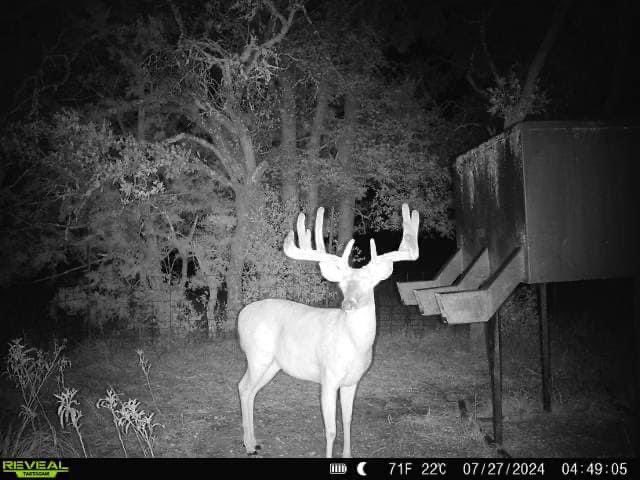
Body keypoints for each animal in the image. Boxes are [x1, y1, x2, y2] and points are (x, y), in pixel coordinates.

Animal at [237, 203, 419, 458]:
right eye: (342, 284)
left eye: (369, 284)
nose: (347, 304)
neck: (355, 346)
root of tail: (241, 316)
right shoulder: (328, 377)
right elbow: (331, 428)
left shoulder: (352, 381)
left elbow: (348, 420)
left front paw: (347, 454)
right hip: (257, 355)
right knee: (243, 387)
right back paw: (248, 444)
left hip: (273, 363)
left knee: (251, 391)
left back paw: (253, 442)